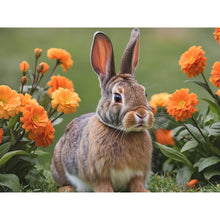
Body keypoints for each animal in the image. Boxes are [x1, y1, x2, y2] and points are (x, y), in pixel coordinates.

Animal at [50, 28, 154, 192]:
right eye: (117, 97)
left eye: (145, 93)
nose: (142, 114)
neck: (123, 132)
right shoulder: (99, 176)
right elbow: (104, 187)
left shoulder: (137, 174)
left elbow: (137, 184)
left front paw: (144, 191)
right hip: (59, 164)